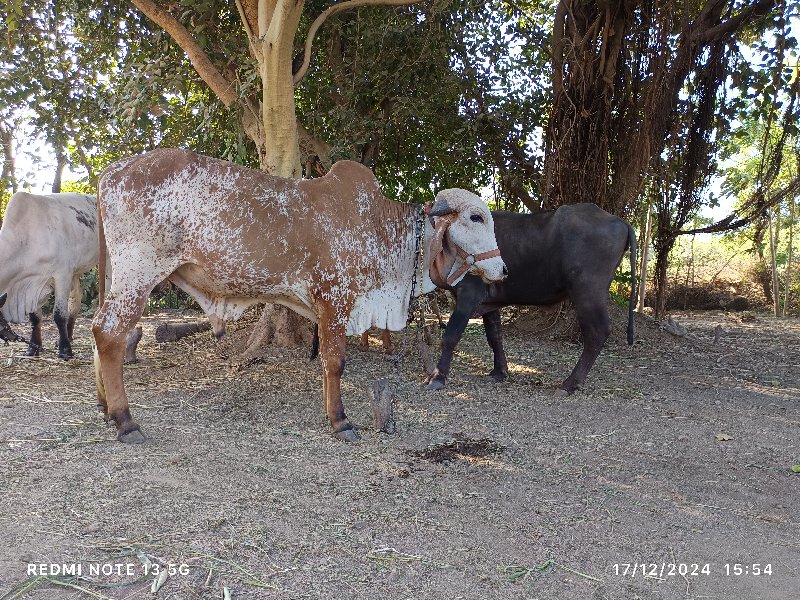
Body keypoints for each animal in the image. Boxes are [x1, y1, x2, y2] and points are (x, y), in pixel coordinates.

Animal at [0, 192, 98, 358]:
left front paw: (65, 350)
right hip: (75, 272)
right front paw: (33, 347)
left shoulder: (62, 275)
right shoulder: (32, 285)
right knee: (75, 301)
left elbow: (59, 315)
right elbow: (34, 318)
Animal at [95, 148, 506, 442]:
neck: (379, 227)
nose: (503, 270)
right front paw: (340, 421)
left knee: (102, 333)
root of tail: (111, 171)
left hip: (119, 275)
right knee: (109, 331)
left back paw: (105, 407)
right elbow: (335, 362)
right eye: (476, 218)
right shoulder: (336, 300)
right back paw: (125, 422)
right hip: (138, 272)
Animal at [424, 204, 636, 396]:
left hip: (588, 293)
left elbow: (451, 336)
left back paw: (569, 384)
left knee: (597, 333)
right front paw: (499, 372)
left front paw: (437, 377)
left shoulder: (469, 295)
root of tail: (619, 221)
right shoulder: (489, 303)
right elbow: (495, 335)